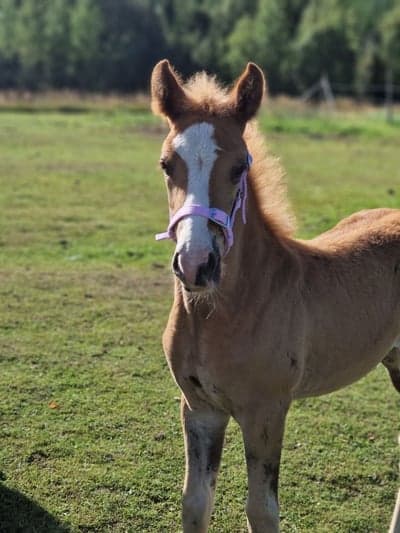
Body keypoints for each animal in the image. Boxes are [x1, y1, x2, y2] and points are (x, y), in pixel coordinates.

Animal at [151, 60, 400, 528]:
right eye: (166, 164)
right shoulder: (198, 408)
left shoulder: (267, 412)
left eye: (239, 167)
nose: (195, 264)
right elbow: (195, 503)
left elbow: (261, 511)